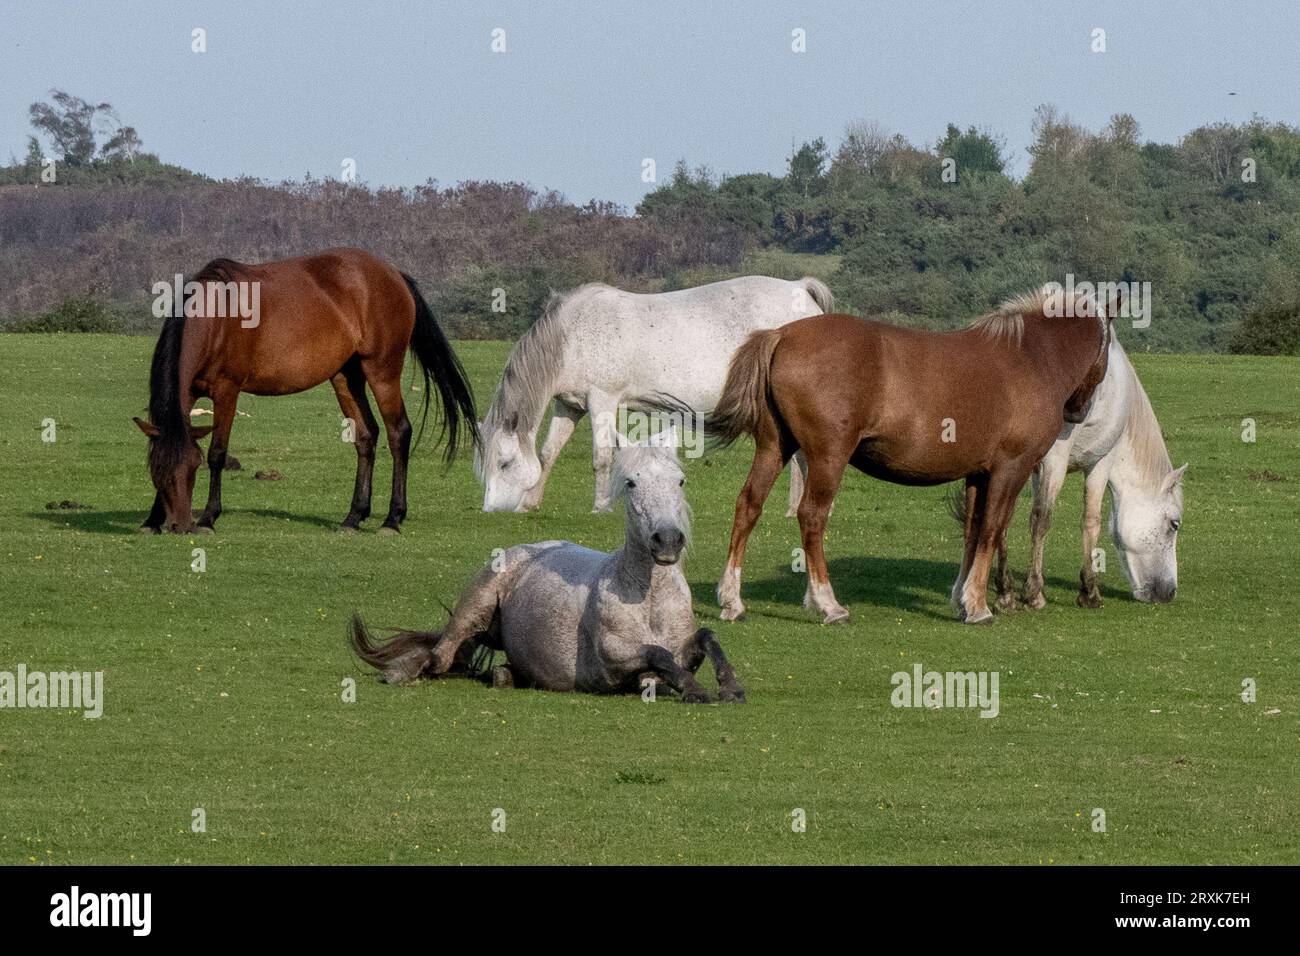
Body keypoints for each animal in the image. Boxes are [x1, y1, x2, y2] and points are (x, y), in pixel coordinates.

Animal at [133, 247, 478, 535]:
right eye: (158, 470)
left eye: (194, 468)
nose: (180, 525)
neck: (217, 317)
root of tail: (394, 275)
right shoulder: (190, 392)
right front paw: (152, 520)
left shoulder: (227, 390)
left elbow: (218, 454)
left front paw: (207, 518)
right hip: (346, 377)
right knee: (366, 436)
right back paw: (353, 517)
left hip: (382, 372)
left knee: (398, 433)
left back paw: (392, 519)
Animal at [351, 434, 748, 702]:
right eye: (632, 482)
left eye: (679, 481)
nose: (667, 540)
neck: (649, 599)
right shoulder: (611, 663)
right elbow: (658, 654)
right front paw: (697, 690)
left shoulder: (683, 649)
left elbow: (707, 638)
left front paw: (730, 686)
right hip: (474, 610)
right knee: (438, 656)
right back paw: (403, 671)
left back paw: (504, 675)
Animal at [473, 274, 826, 515]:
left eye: (504, 463)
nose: (491, 510)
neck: (571, 335)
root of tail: (800, 289)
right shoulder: (569, 406)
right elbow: (548, 452)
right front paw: (530, 503)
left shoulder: (603, 401)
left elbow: (602, 457)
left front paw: (601, 506)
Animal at [707, 283, 1112, 629]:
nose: (1078, 411)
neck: (1031, 357)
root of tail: (781, 335)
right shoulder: (1011, 468)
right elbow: (992, 529)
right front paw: (979, 604)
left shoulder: (977, 473)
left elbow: (972, 529)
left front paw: (963, 599)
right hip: (827, 457)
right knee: (811, 517)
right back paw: (828, 604)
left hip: (774, 447)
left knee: (748, 507)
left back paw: (732, 601)